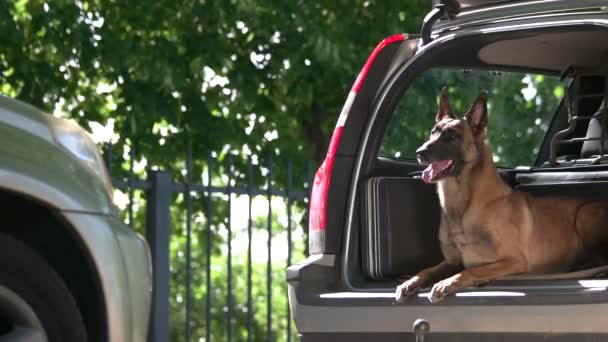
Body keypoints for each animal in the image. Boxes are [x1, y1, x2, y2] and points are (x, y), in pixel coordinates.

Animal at [394, 87, 608, 302]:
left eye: (452, 136)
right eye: (433, 132)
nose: (419, 152)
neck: (462, 204)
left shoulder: (513, 261)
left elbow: (472, 270)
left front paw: (447, 282)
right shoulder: (452, 261)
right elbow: (427, 270)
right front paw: (410, 281)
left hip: (585, 215)